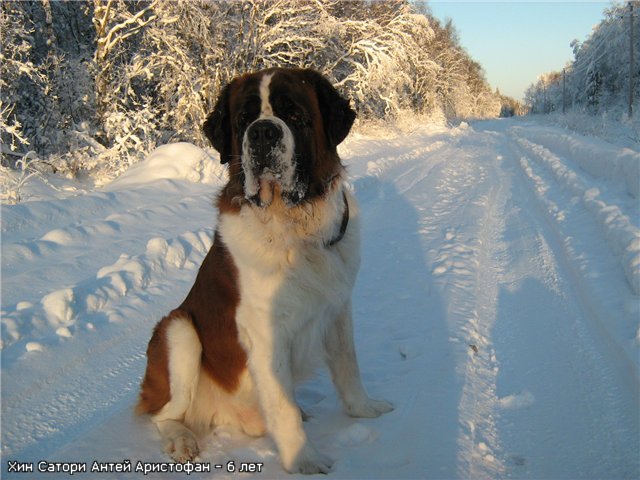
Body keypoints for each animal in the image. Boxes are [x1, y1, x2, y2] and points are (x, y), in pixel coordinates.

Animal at [138, 66, 392, 472]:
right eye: (244, 120)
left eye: (294, 115)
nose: (262, 132)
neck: (294, 227)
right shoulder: (263, 330)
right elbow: (282, 405)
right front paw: (304, 460)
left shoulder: (338, 309)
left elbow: (347, 364)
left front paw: (365, 409)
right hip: (177, 330)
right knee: (163, 413)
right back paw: (181, 439)